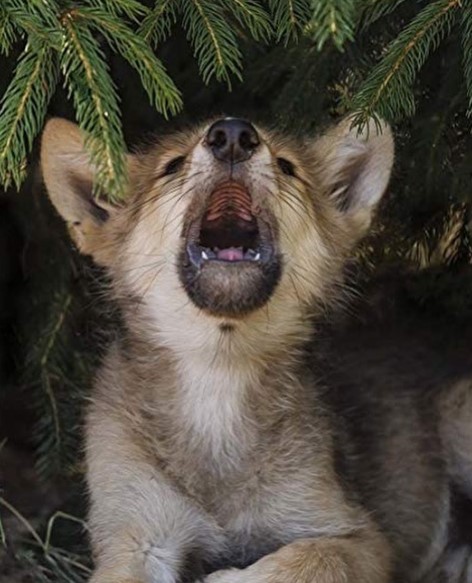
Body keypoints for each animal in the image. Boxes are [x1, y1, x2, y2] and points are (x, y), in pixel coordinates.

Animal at [42, 116, 470, 580]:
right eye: (171, 166)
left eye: (287, 167)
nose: (232, 133)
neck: (218, 377)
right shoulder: (136, 536)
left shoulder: (357, 535)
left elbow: (308, 559)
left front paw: (223, 575)